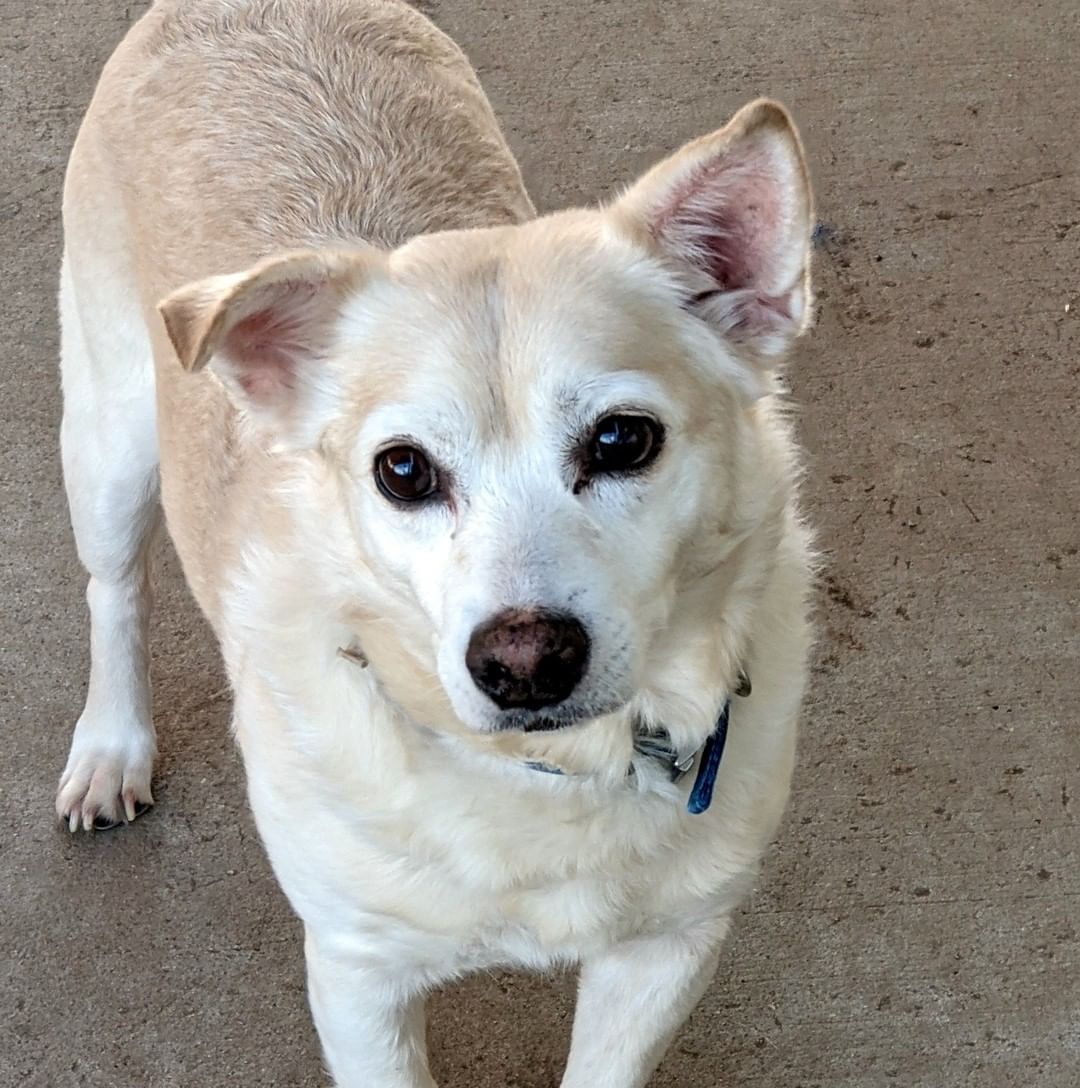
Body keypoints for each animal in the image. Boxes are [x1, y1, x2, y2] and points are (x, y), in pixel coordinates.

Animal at [56, 4, 809, 1083]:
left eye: (623, 439)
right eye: (403, 471)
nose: (525, 661)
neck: (541, 776)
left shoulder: (668, 952)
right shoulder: (358, 977)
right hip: (110, 440)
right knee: (115, 589)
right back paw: (112, 746)